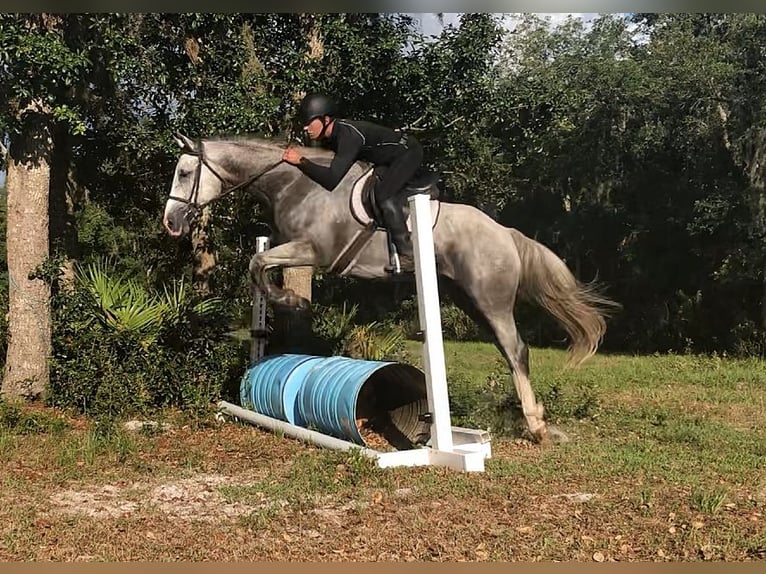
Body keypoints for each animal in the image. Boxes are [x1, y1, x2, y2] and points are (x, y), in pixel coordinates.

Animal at [165, 134, 620, 446]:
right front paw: (284, 305)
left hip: (489, 299)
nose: (171, 223)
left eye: (185, 173)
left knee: (516, 349)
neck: (296, 185)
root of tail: (504, 232)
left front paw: (290, 300)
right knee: (508, 351)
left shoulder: (313, 251)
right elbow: (261, 267)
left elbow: (257, 266)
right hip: (467, 300)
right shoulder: (291, 248)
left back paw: (536, 425)